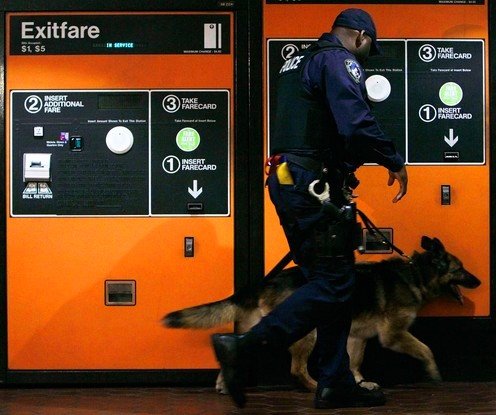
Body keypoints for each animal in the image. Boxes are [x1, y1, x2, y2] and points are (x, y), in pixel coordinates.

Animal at [163, 237, 480, 394]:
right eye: (460, 269)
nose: (478, 282)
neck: (416, 274)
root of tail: (267, 282)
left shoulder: (357, 336)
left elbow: (355, 362)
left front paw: (359, 383)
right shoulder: (393, 335)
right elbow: (426, 349)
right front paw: (434, 373)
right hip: (308, 331)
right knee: (297, 369)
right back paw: (316, 386)